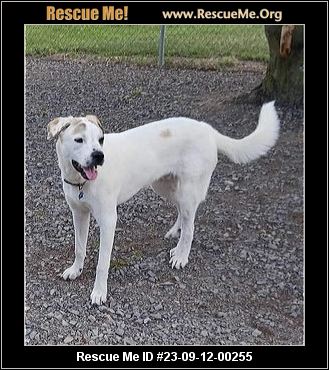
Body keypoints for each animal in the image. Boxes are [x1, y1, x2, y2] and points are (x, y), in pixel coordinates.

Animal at [47, 101, 280, 304]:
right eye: (79, 140)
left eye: (101, 139)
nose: (99, 156)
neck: (81, 182)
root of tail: (207, 129)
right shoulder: (78, 214)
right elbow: (79, 248)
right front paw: (75, 270)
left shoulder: (108, 220)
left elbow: (102, 263)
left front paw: (99, 292)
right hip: (164, 187)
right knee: (184, 214)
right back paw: (175, 233)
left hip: (187, 190)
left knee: (191, 227)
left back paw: (181, 255)